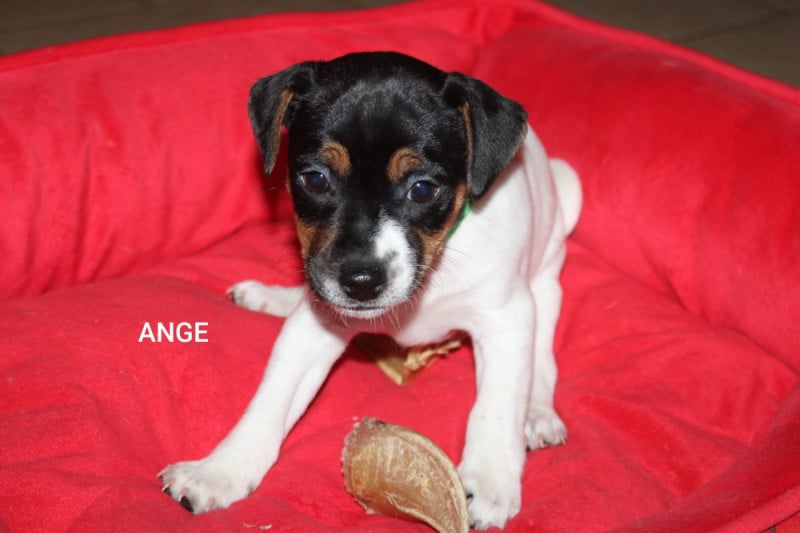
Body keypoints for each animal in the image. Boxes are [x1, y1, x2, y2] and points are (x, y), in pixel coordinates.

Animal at [159, 51, 581, 530]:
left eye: (422, 188)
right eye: (315, 179)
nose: (360, 282)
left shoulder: (505, 319)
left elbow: (495, 407)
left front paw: (491, 482)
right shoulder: (316, 326)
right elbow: (270, 402)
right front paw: (220, 471)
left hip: (548, 265)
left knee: (542, 357)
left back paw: (539, 414)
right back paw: (270, 297)